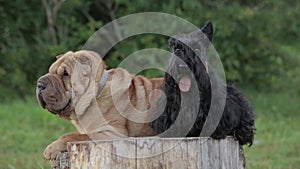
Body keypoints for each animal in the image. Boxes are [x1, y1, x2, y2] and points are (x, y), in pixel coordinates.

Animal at [37, 50, 165, 160]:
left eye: (65, 74)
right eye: (50, 71)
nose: (40, 84)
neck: (96, 93)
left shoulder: (111, 133)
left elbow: (72, 135)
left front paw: (52, 148)